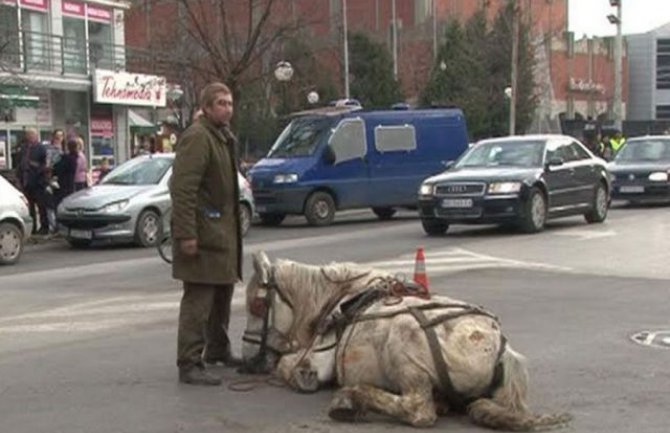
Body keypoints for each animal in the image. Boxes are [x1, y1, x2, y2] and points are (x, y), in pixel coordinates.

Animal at [243, 251, 572, 430]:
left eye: (257, 305)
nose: (246, 359)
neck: (340, 298)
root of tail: (501, 350)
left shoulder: (316, 362)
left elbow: (288, 368)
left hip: (405, 347)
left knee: (418, 410)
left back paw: (354, 397)